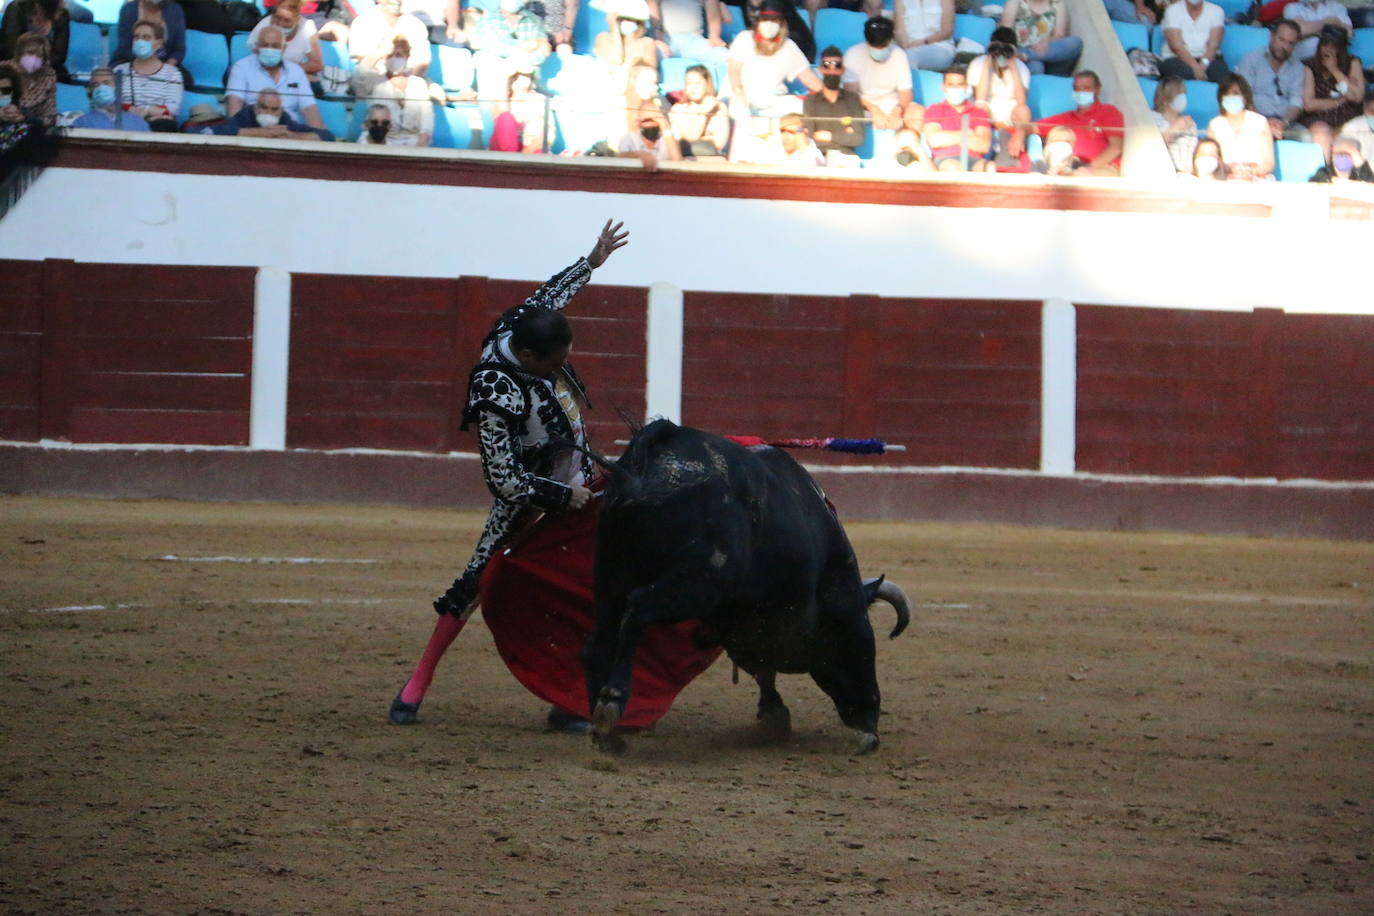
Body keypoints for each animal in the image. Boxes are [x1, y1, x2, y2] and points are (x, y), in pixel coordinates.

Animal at [579, 420, 912, 752]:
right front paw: (775, 714)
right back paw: (612, 702)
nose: (870, 727)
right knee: (638, 610)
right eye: (862, 640)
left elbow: (758, 663)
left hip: (610, 576)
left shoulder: (741, 618)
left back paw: (606, 736)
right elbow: (763, 660)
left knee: (599, 640)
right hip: (696, 584)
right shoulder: (772, 615)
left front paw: (773, 714)